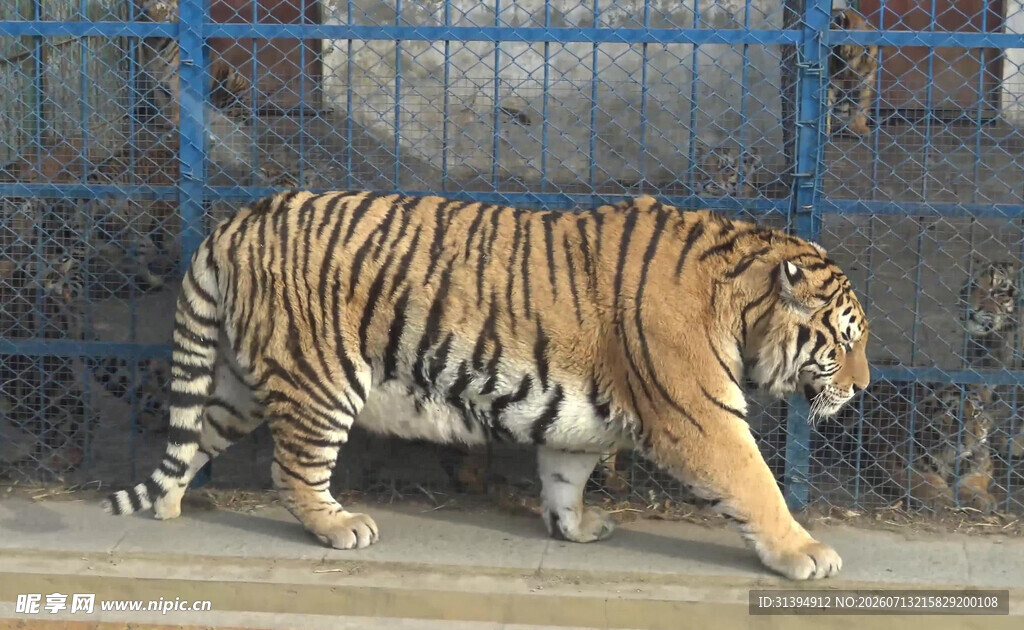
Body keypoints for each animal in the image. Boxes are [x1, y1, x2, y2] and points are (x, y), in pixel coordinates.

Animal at [102, 191, 870, 581]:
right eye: (845, 341)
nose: (863, 389)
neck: (741, 301)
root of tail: (234, 222)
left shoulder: (583, 413)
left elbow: (564, 475)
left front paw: (576, 528)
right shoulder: (700, 415)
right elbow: (755, 484)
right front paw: (807, 554)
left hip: (240, 381)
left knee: (194, 434)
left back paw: (166, 506)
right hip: (320, 376)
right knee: (291, 469)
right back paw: (340, 526)